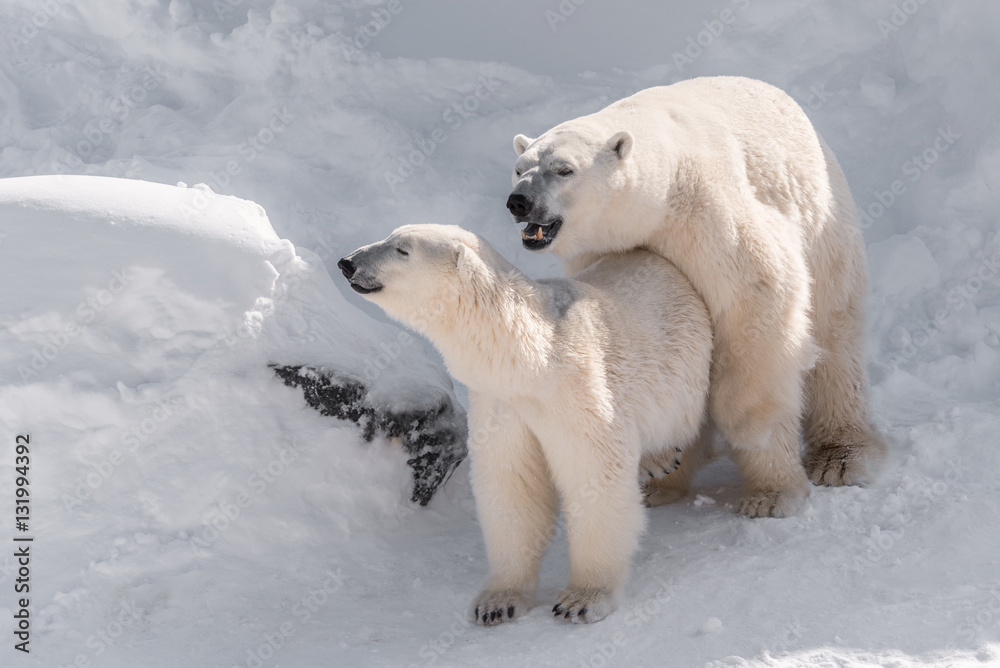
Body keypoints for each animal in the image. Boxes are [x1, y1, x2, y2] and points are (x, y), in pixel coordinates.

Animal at [340, 226, 716, 628]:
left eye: (402, 249)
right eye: (390, 237)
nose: (347, 262)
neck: (533, 360)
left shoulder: (577, 392)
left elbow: (594, 475)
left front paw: (582, 599)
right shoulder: (502, 406)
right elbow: (513, 484)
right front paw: (497, 602)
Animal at [504, 75, 888, 520]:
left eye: (563, 169)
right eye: (519, 169)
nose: (519, 202)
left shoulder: (707, 214)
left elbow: (756, 296)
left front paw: (749, 428)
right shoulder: (602, 248)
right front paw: (660, 457)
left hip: (823, 222)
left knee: (834, 338)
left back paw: (817, 469)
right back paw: (662, 483)